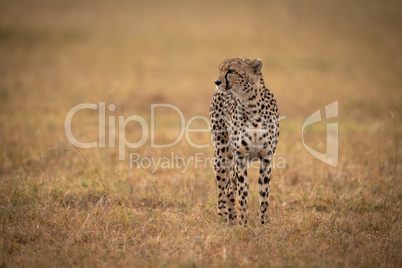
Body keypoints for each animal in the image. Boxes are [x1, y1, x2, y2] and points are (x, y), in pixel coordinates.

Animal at [210, 57, 280, 225]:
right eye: (221, 69)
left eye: (231, 71)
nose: (217, 81)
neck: (251, 104)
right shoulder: (240, 157)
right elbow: (243, 194)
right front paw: (243, 225)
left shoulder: (266, 158)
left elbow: (264, 194)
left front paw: (263, 224)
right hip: (222, 154)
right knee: (223, 188)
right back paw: (224, 219)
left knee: (230, 188)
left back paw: (232, 219)